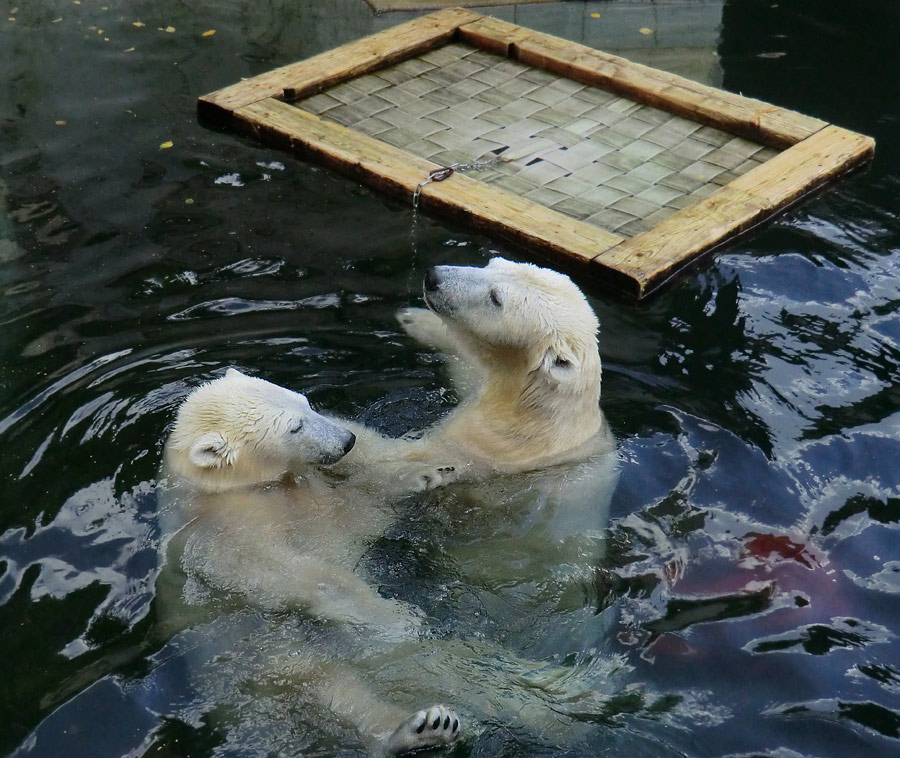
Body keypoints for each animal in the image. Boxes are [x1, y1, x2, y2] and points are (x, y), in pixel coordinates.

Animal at [157, 368, 460, 756]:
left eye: (305, 401)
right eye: (295, 426)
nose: (347, 441)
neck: (231, 487)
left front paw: (429, 470)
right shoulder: (219, 534)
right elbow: (296, 569)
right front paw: (398, 620)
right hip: (265, 661)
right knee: (323, 685)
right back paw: (412, 730)